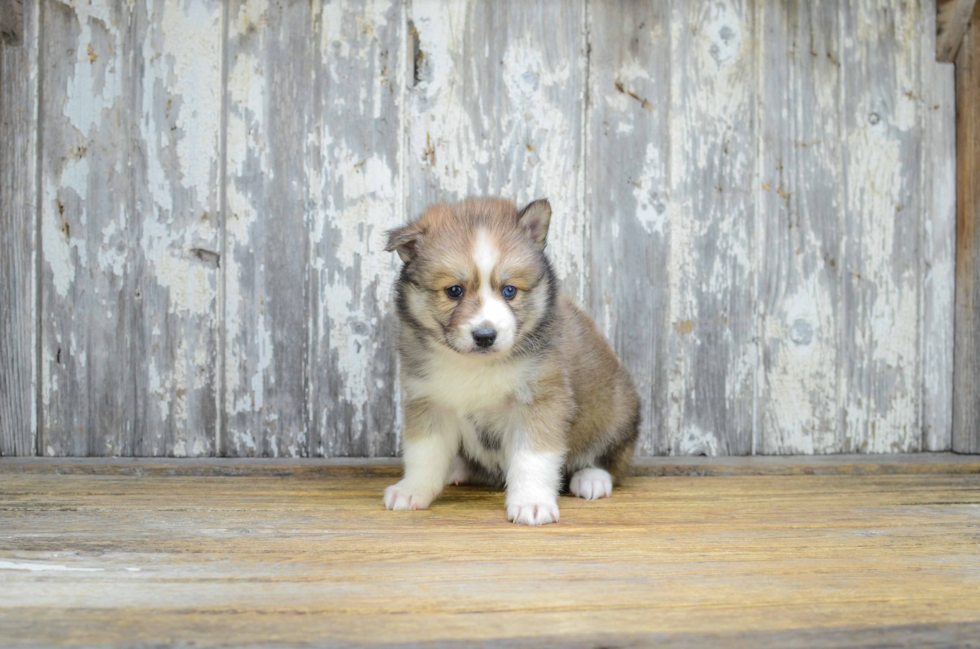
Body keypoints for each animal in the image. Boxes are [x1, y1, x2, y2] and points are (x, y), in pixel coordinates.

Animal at [382, 195, 644, 524]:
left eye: (509, 291)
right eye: (454, 291)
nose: (485, 336)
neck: (477, 366)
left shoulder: (539, 401)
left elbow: (531, 459)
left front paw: (532, 502)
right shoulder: (429, 401)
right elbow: (424, 453)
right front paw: (412, 490)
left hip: (616, 413)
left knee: (613, 460)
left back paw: (592, 478)